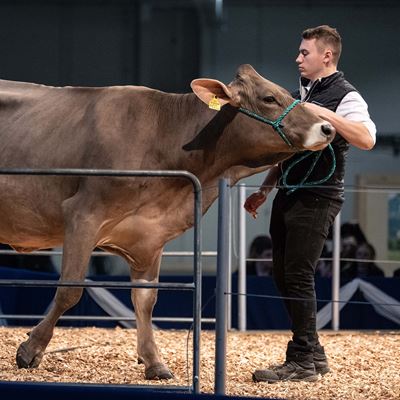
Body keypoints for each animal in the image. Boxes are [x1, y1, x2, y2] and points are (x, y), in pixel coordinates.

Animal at [0, 65, 334, 378]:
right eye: (269, 98)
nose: (328, 127)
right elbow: (70, 290)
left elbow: (146, 299)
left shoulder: (150, 235)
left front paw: (154, 361)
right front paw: (30, 350)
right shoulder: (83, 214)